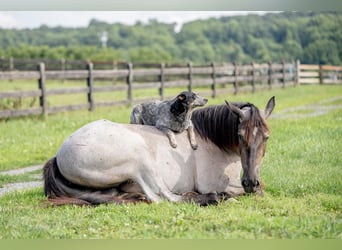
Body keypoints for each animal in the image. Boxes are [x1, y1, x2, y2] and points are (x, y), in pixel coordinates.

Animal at [42, 96, 276, 206]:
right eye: (240, 136)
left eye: (266, 137)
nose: (250, 182)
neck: (211, 139)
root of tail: (59, 154)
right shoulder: (217, 183)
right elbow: (260, 190)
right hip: (141, 160)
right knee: (163, 197)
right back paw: (213, 198)